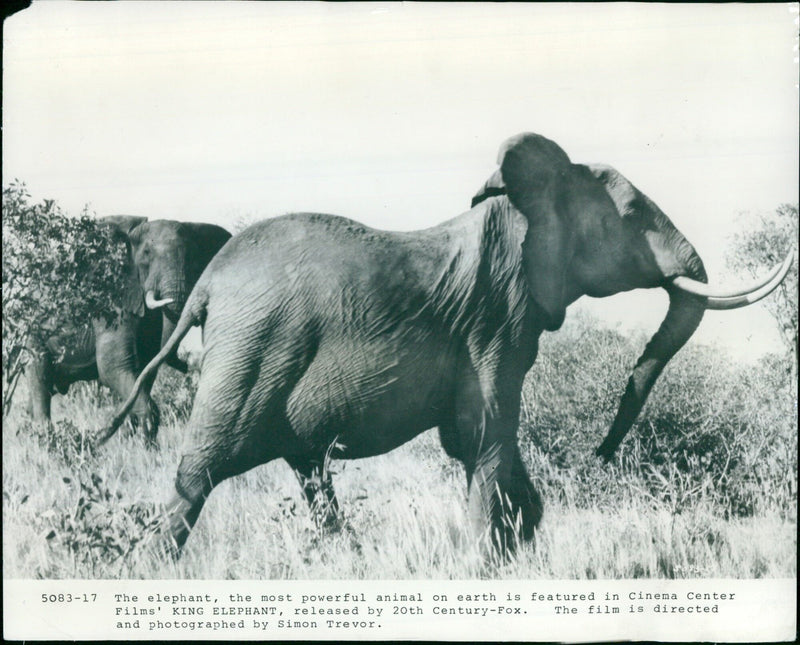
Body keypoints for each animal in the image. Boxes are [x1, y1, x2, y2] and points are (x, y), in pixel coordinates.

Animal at [25, 216, 231, 441]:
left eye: (193, 257)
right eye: (147, 253)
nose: (187, 366)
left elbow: (144, 369)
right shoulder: (109, 298)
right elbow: (113, 366)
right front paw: (146, 434)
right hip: (34, 330)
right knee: (40, 378)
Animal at [101, 133, 791, 556]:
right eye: (632, 217)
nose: (600, 453)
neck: (520, 206)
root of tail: (207, 284)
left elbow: (479, 441)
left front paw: (522, 546)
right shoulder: (496, 320)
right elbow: (486, 435)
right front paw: (490, 562)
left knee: (308, 472)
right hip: (254, 352)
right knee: (201, 472)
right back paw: (152, 566)